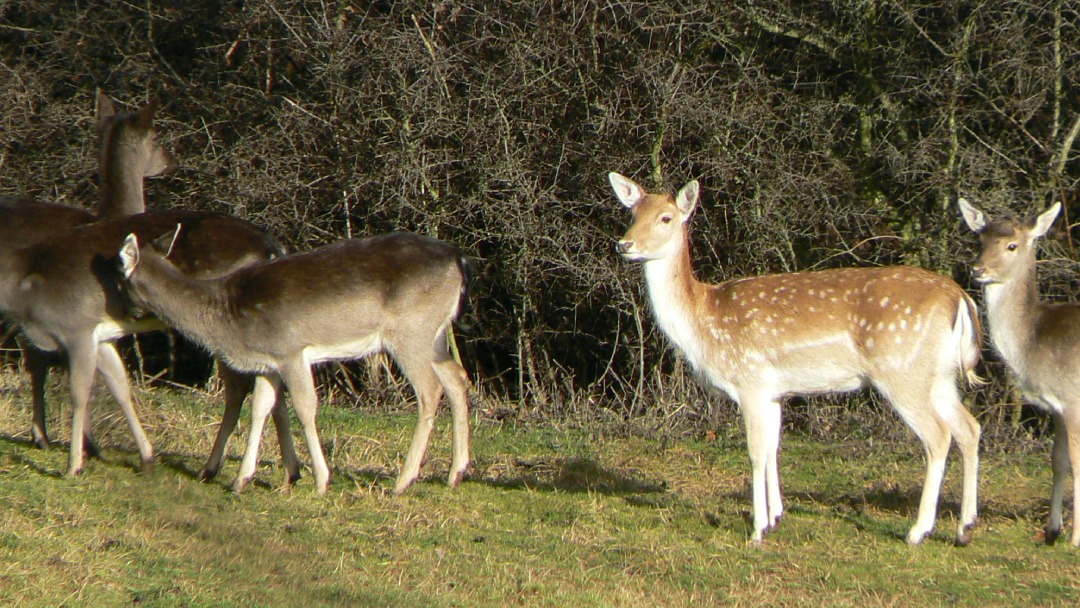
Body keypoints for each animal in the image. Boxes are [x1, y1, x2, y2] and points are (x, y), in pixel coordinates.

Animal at [0, 210, 300, 482]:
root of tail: (274, 248)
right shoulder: (101, 337)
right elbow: (120, 388)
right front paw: (146, 457)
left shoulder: (78, 330)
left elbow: (77, 391)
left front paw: (72, 464)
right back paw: (289, 472)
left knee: (240, 390)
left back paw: (214, 470)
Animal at [116, 230, 473, 495]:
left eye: (119, 280)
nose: (123, 313)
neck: (227, 315)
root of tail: (459, 259)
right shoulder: (269, 363)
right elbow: (262, 408)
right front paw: (242, 479)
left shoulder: (290, 351)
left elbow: (305, 408)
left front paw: (321, 480)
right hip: (435, 337)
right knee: (457, 378)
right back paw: (455, 473)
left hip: (410, 332)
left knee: (430, 390)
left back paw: (403, 480)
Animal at [610, 172, 983, 545]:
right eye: (633, 214)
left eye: (665, 218)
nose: (624, 244)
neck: (702, 321)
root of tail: (959, 297)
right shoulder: (774, 391)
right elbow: (773, 448)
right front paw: (776, 516)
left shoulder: (750, 380)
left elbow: (755, 452)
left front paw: (758, 530)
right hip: (939, 375)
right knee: (969, 427)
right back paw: (965, 527)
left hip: (901, 370)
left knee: (938, 436)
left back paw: (918, 531)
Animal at [959, 198, 1080, 546]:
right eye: (981, 240)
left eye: (1012, 245)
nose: (977, 270)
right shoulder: (1056, 406)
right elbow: (1058, 462)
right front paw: (1052, 531)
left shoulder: (1074, 399)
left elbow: (1077, 463)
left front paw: (1075, 539)